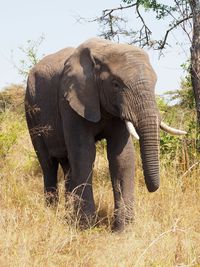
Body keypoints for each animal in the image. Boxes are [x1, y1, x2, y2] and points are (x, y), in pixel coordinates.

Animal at [24, 37, 186, 232]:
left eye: (155, 82)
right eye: (116, 84)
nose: (153, 188)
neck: (103, 50)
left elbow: (122, 157)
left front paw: (123, 230)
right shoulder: (70, 101)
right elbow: (84, 154)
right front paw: (86, 227)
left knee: (68, 165)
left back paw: (68, 215)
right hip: (31, 112)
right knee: (48, 164)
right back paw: (52, 213)